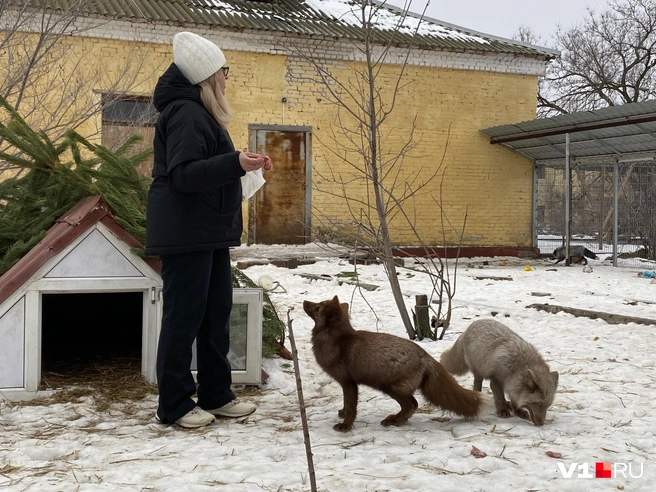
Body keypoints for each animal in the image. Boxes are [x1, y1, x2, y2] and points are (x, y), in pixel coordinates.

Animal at [302, 296, 482, 430]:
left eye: (317, 306)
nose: (304, 302)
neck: (337, 340)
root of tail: (426, 356)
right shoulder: (347, 384)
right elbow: (346, 405)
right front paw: (342, 413)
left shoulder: (349, 382)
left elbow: (351, 407)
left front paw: (346, 425)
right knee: (411, 406)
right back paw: (397, 419)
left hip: (390, 387)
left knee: (413, 404)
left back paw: (394, 421)